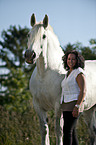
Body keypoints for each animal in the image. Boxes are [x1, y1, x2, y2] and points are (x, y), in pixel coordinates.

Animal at [25, 13, 96, 145]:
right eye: (28, 34)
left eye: (43, 36)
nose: (29, 55)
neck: (44, 75)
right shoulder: (38, 107)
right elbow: (44, 130)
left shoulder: (59, 107)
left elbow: (59, 131)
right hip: (89, 111)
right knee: (93, 133)